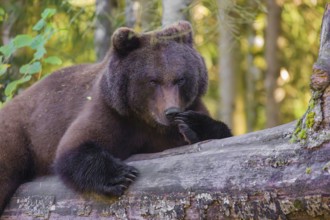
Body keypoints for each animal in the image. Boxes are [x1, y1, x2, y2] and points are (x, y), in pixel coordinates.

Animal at [0, 21, 232, 215]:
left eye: (180, 79)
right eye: (153, 80)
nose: (171, 111)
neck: (147, 120)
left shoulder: (183, 113)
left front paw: (192, 125)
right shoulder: (112, 112)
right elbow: (74, 147)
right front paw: (121, 175)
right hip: (17, 133)